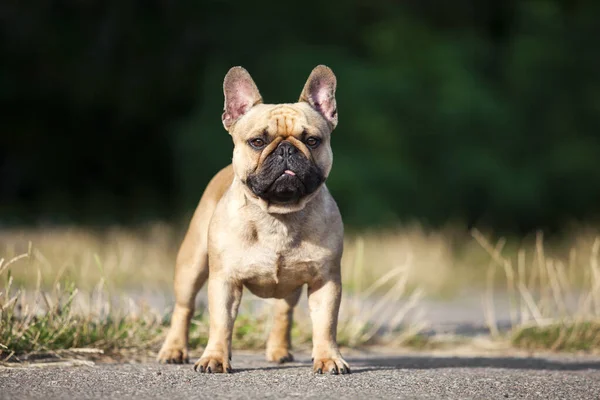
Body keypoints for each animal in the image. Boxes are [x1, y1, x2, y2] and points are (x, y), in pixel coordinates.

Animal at [157, 64, 350, 374]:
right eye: (258, 142)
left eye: (312, 141)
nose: (286, 149)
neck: (278, 216)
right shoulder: (224, 281)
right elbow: (221, 323)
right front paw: (214, 358)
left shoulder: (326, 281)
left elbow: (325, 325)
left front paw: (328, 357)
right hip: (192, 264)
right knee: (184, 308)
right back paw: (174, 350)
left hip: (290, 285)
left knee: (283, 311)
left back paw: (278, 350)